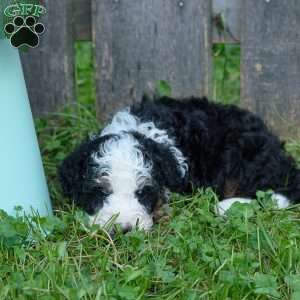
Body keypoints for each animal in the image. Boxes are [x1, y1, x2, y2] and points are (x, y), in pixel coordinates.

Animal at [58, 98, 300, 232]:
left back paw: (228, 206)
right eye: (100, 192)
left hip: (242, 153)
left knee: (276, 192)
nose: (124, 229)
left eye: (142, 193)